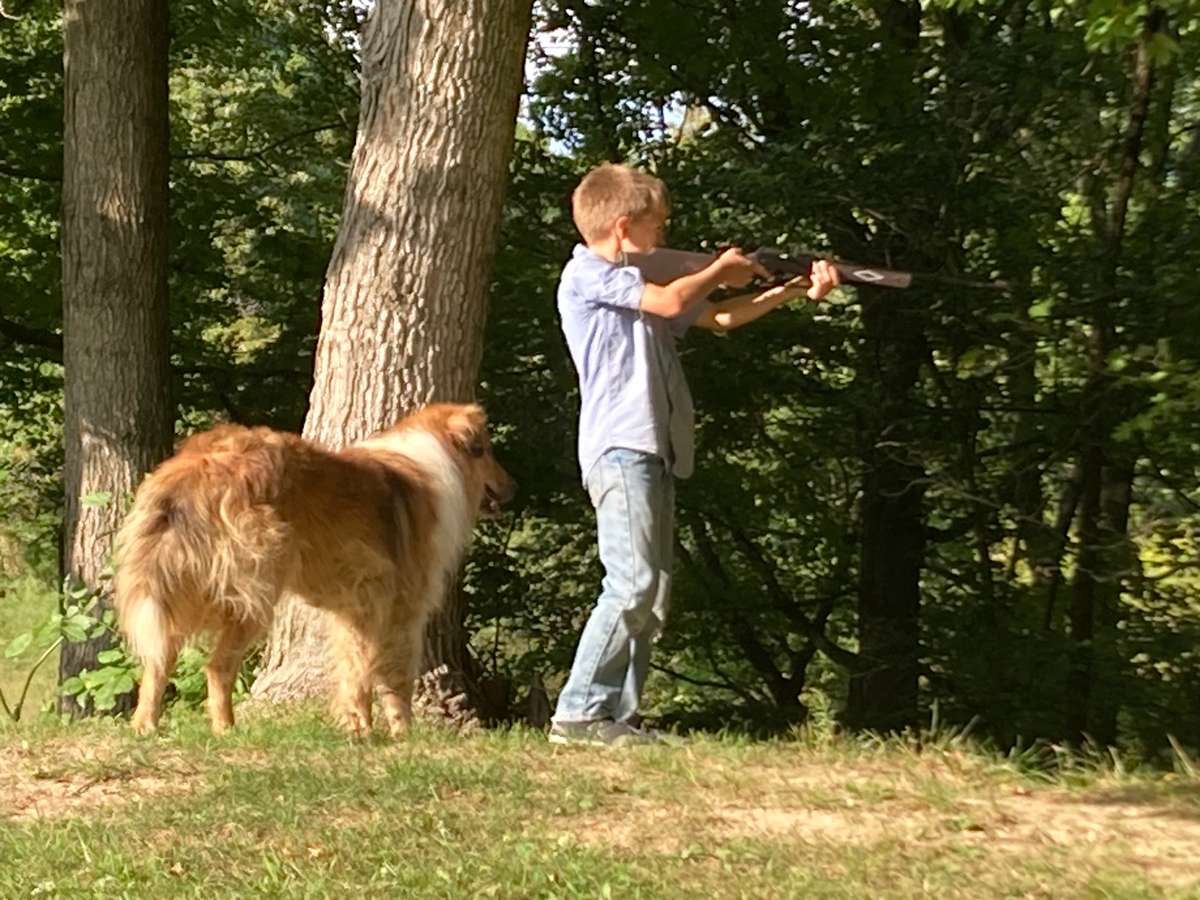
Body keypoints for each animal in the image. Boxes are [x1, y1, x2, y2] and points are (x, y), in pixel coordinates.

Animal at [113, 405, 520, 734]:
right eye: (487, 450)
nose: (513, 487)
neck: (437, 457)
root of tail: (199, 462)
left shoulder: (356, 611)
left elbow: (356, 671)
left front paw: (358, 727)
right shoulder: (400, 610)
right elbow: (392, 677)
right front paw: (398, 734)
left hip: (176, 591)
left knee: (158, 662)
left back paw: (147, 727)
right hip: (253, 592)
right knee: (217, 667)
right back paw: (227, 730)